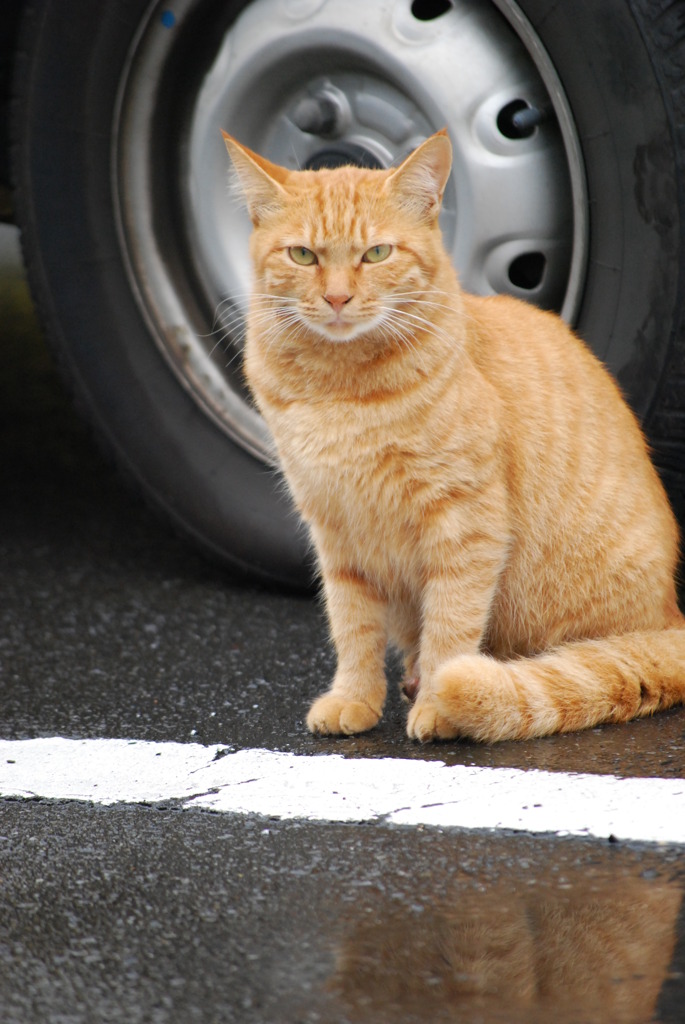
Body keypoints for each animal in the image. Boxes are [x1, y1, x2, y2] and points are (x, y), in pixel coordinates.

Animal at [223, 132, 683, 745]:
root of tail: (673, 615)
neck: (340, 388)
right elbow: (352, 626)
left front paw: (441, 705)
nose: (338, 299)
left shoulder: (466, 523)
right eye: (303, 256)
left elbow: (450, 621)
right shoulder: (336, 529)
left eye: (377, 254)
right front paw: (354, 698)